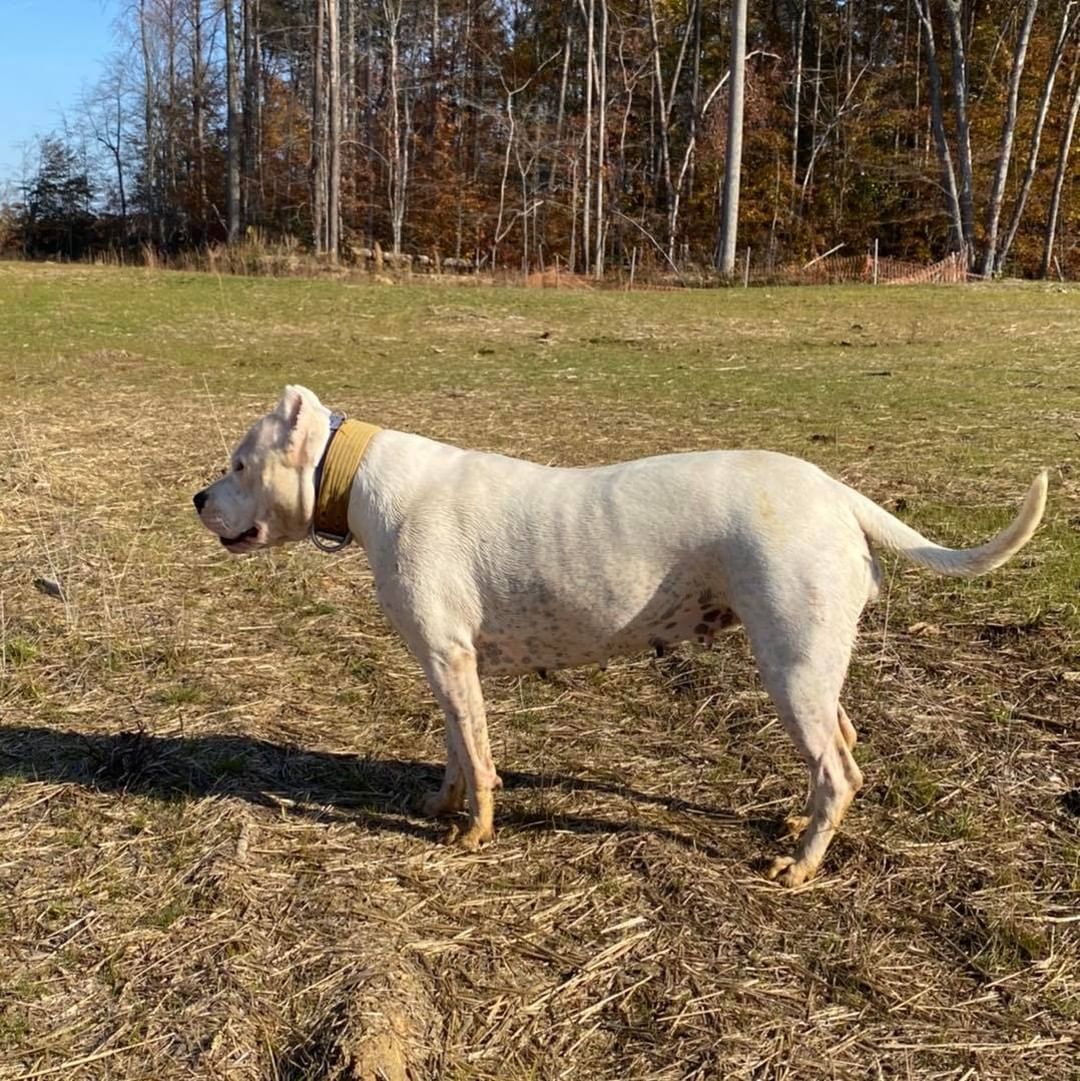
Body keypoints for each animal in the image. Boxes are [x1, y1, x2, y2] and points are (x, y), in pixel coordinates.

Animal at [192, 389, 1046, 886]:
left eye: (239, 463)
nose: (198, 497)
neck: (362, 481)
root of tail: (836, 493)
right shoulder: (450, 665)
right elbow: (457, 746)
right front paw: (443, 802)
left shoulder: (449, 658)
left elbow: (482, 759)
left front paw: (475, 831)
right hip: (813, 667)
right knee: (844, 748)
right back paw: (795, 825)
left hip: (792, 667)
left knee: (838, 770)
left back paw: (798, 864)